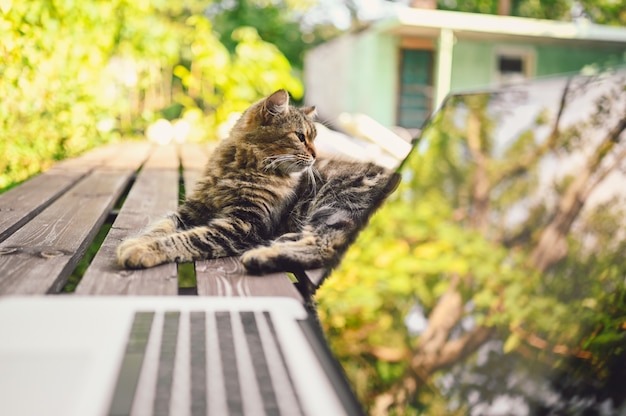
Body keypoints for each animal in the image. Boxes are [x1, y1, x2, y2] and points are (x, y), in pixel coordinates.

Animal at [116, 88, 400, 272]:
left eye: (314, 138)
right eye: (300, 137)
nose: (316, 154)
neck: (236, 168)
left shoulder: (244, 223)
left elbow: (187, 238)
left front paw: (144, 250)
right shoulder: (194, 208)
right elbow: (162, 226)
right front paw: (138, 241)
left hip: (335, 204)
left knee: (324, 246)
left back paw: (261, 256)